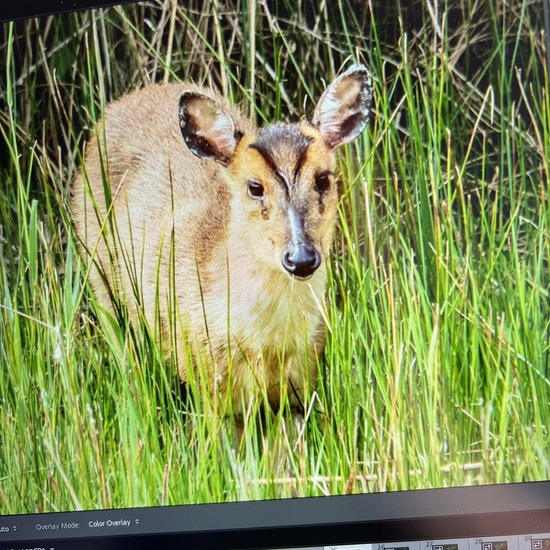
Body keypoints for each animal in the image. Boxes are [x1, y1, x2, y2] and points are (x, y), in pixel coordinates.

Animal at [72, 64, 376, 418]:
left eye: (323, 178)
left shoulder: (303, 376)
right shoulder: (208, 377)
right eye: (254, 186)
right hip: (103, 285)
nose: (301, 258)